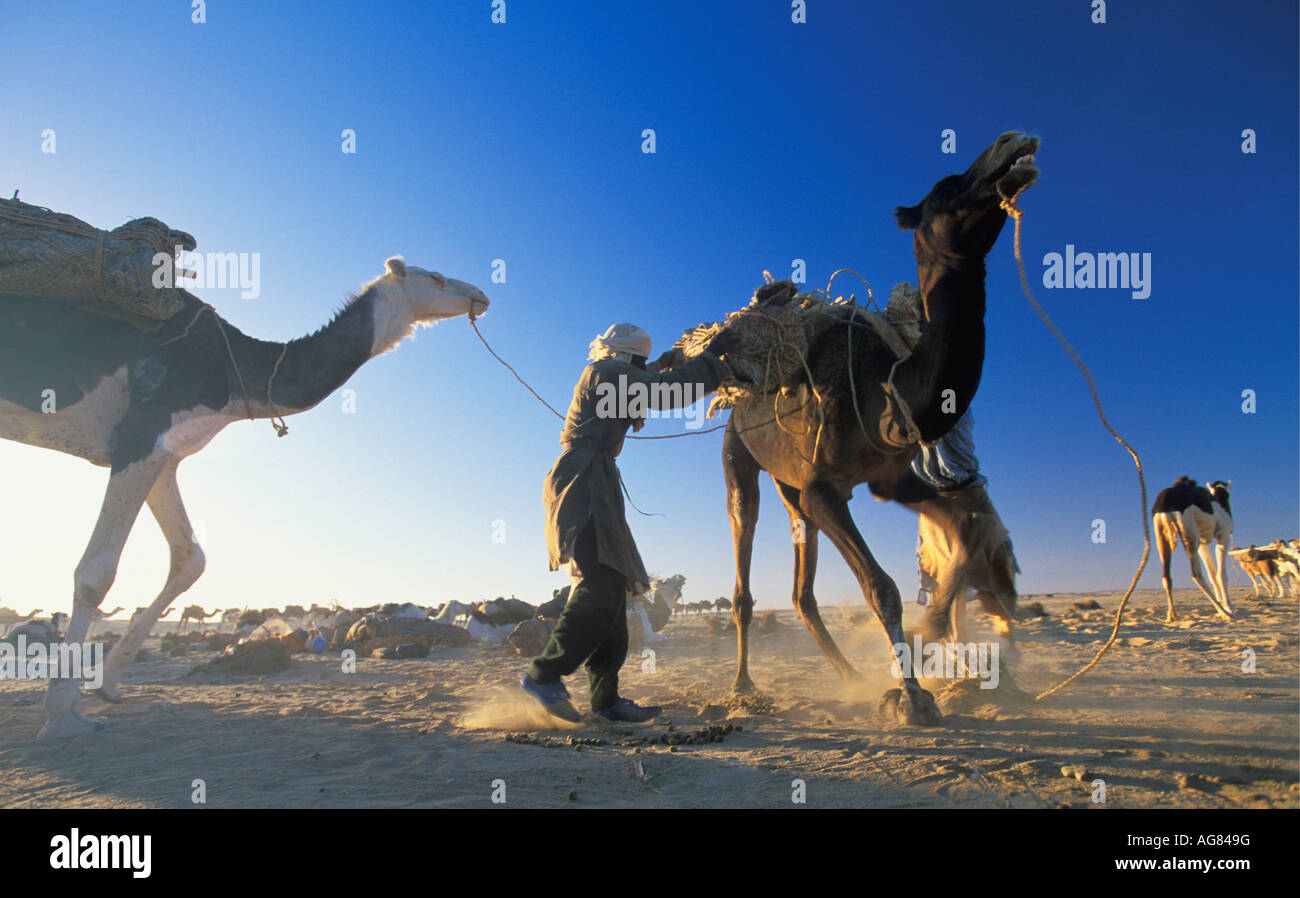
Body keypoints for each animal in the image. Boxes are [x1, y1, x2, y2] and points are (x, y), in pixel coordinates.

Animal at [1, 256, 488, 743]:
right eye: (437, 279)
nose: (480, 295)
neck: (238, 370)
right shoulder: (143, 430)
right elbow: (96, 573)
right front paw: (63, 716)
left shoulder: (165, 451)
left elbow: (190, 559)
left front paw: (108, 684)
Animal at [722, 131, 1034, 722]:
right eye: (947, 189)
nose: (1011, 143)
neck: (887, 384)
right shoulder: (826, 485)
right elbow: (881, 586)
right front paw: (912, 697)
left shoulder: (890, 479)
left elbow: (968, 529)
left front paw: (929, 634)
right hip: (739, 458)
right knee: (744, 556)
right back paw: (744, 686)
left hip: (792, 487)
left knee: (801, 589)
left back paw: (847, 673)